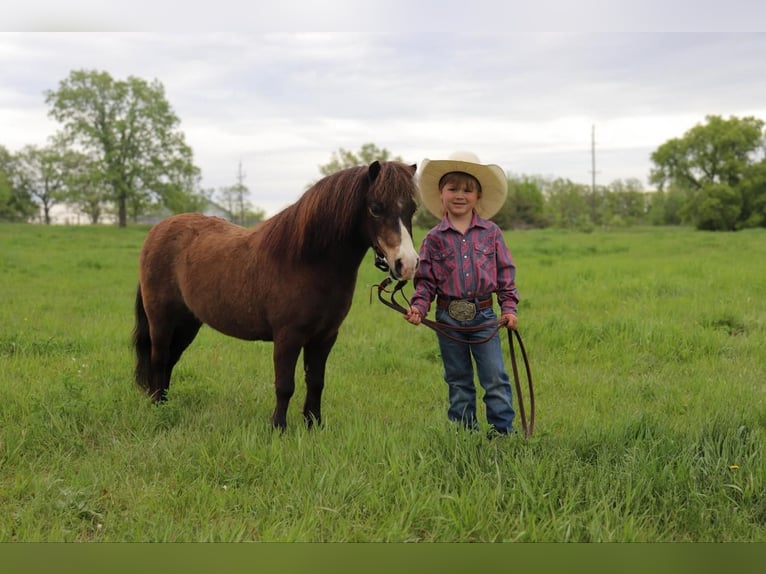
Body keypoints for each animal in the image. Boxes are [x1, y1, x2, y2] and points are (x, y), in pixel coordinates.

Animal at [133, 160, 420, 430]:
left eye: (412, 209)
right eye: (375, 208)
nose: (406, 264)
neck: (307, 262)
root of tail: (157, 231)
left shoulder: (325, 337)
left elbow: (316, 382)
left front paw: (313, 424)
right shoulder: (287, 336)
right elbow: (285, 385)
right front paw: (278, 428)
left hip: (188, 322)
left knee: (170, 360)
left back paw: (165, 404)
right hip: (161, 320)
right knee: (159, 359)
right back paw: (158, 408)